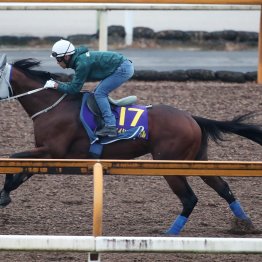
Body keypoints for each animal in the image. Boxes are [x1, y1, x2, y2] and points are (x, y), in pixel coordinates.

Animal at [0, 55, 260, 235]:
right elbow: (21, 172)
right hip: (196, 160)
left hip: (169, 164)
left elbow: (12, 158)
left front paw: (3, 195)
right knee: (222, 187)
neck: (52, 106)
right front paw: (6, 195)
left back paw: (170, 234)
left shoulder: (53, 151)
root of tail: (192, 118)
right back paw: (244, 223)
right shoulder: (49, 155)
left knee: (189, 198)